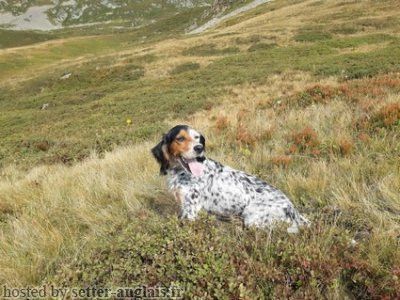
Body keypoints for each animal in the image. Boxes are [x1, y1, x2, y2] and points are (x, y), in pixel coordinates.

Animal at [151, 124, 310, 232]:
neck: (181, 172)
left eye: (197, 138)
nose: (199, 147)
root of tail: (292, 209)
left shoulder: (191, 210)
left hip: (251, 216)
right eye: (180, 138)